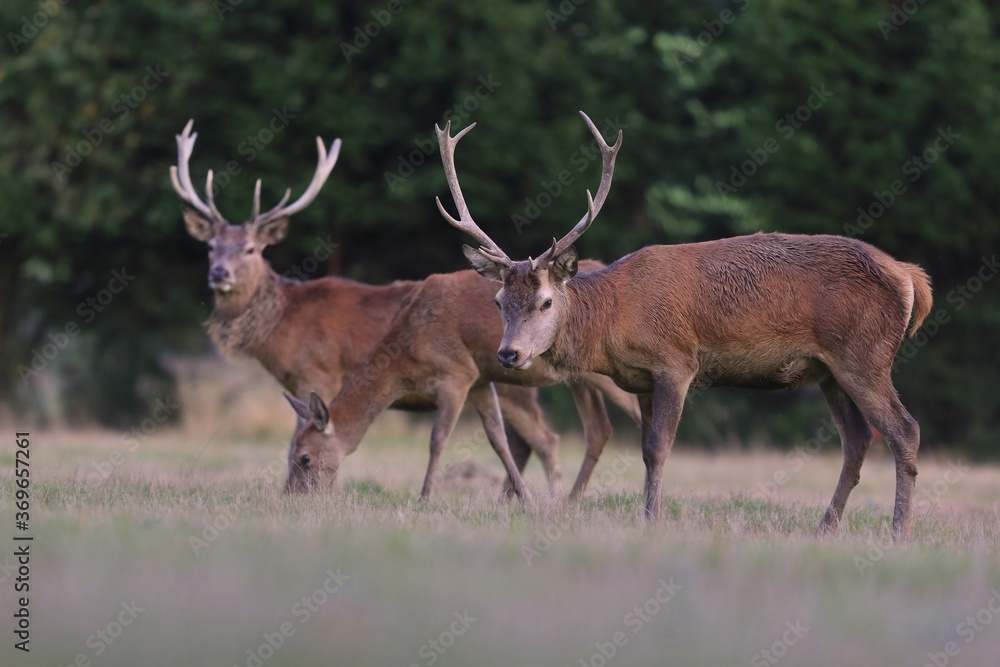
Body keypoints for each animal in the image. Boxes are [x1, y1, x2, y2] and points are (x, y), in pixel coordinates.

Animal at [170, 118, 640, 496]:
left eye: (250, 249)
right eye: (210, 247)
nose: (218, 274)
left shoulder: (325, 372)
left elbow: (435, 439)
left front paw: (423, 499)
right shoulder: (478, 380)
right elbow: (495, 439)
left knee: (571, 431)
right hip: (571, 379)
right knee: (591, 431)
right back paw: (561, 500)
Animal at [434, 111, 932, 536]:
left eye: (546, 301)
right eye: (499, 300)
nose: (509, 353)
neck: (615, 320)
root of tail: (911, 277)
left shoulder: (676, 362)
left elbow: (658, 448)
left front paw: (652, 519)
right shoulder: (641, 378)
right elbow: (643, 450)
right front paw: (647, 513)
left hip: (864, 354)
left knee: (905, 430)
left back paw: (899, 531)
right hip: (829, 370)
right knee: (857, 440)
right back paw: (826, 527)